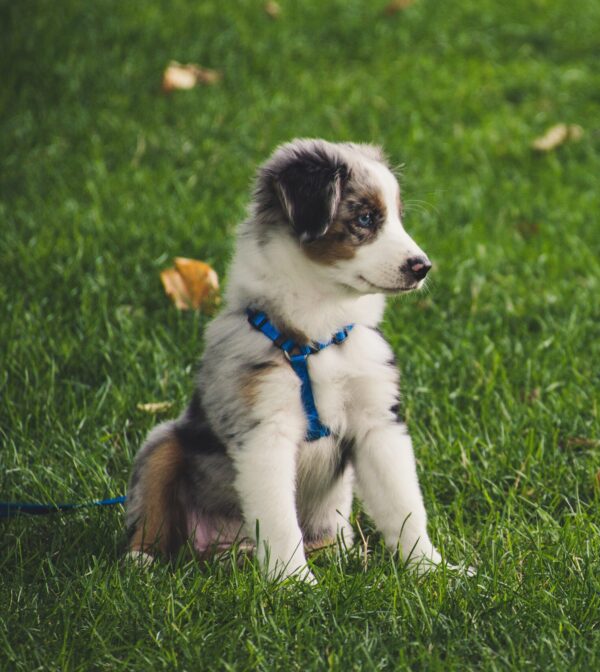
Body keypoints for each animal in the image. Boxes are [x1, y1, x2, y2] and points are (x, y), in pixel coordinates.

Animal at [129, 139, 452, 580]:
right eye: (366, 218)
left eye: (398, 219)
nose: (423, 268)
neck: (319, 333)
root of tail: (224, 548)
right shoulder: (265, 430)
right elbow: (280, 520)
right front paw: (294, 584)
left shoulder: (378, 422)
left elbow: (404, 505)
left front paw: (434, 571)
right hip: (164, 443)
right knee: (151, 510)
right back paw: (141, 560)